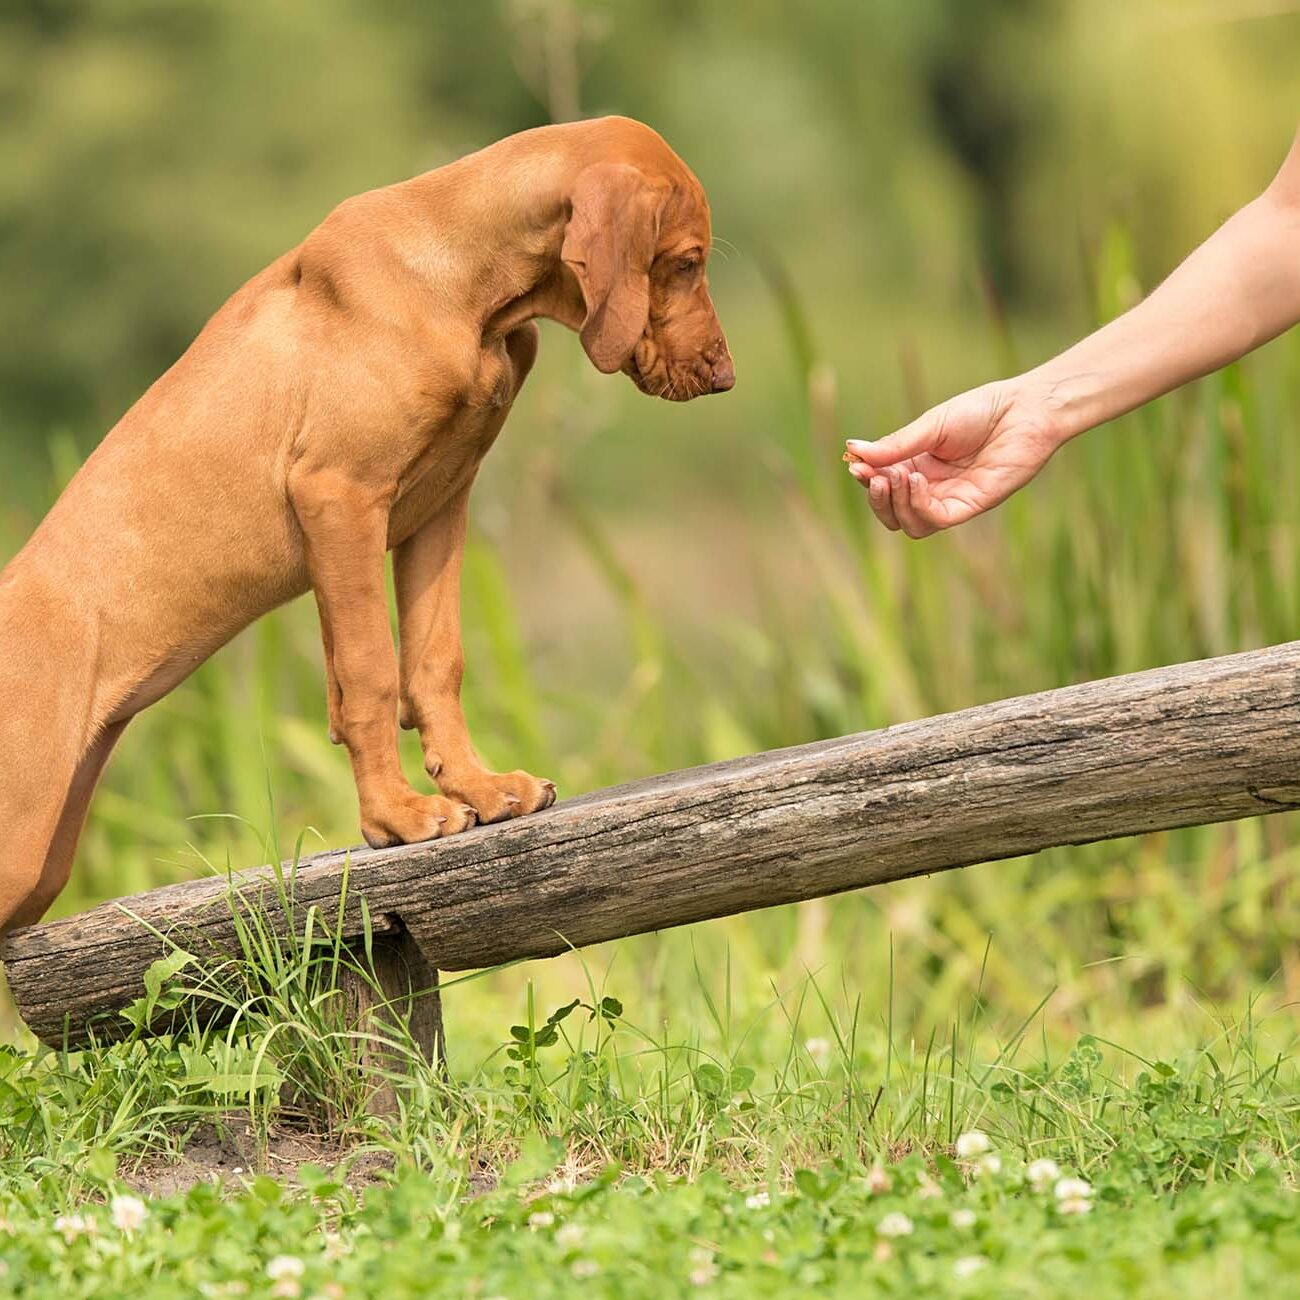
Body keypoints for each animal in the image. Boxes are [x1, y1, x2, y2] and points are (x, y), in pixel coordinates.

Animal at [0, 116, 733, 935]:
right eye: (686, 262)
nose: (725, 377)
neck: (467, 289)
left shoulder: (441, 505)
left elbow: (434, 663)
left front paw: (478, 787)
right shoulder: (338, 496)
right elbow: (371, 673)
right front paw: (396, 818)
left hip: (42, 862)